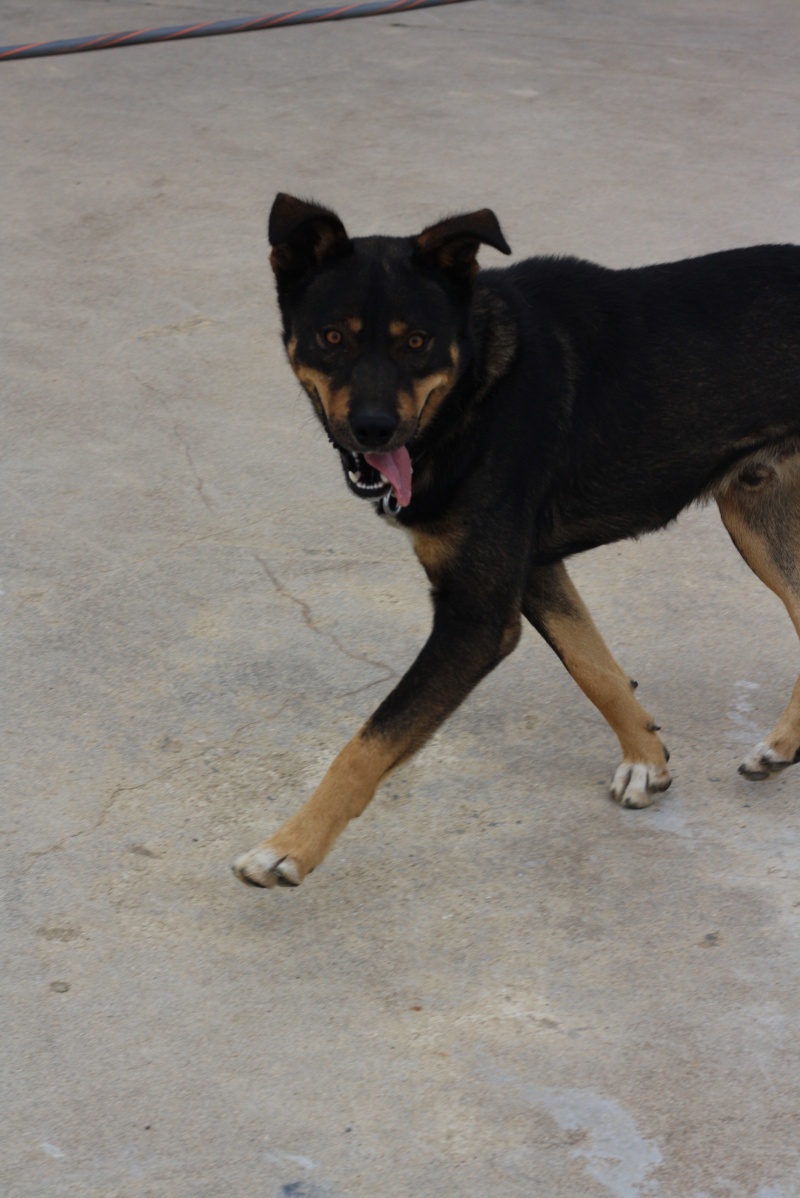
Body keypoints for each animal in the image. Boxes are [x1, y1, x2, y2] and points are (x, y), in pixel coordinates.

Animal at [231, 194, 800, 891]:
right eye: (332, 337)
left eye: (417, 341)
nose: (373, 430)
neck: (477, 382)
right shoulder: (532, 572)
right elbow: (593, 666)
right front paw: (647, 759)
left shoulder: (476, 617)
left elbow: (370, 741)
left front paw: (289, 846)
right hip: (756, 515)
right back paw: (781, 748)